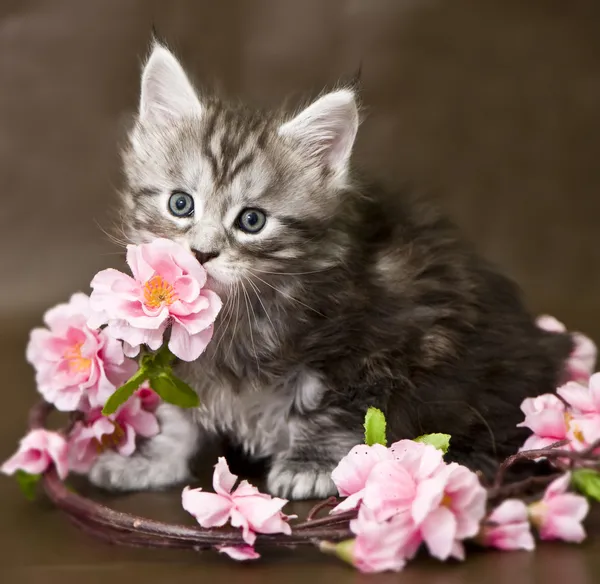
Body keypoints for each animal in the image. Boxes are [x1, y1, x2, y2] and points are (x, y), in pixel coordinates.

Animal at [89, 43, 572, 500]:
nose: (202, 253)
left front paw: (311, 465)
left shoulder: (373, 353)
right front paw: (152, 462)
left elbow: (331, 411)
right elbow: (177, 415)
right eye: (180, 204)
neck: (238, 315)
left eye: (251, 221)